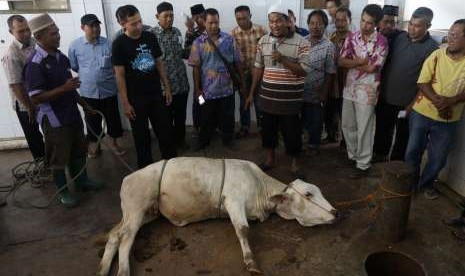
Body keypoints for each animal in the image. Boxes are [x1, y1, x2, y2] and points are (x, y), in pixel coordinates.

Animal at [99, 157, 338, 276]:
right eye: (308, 194)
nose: (335, 212)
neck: (260, 186)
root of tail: (128, 177)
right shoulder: (233, 200)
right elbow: (243, 230)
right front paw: (251, 263)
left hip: (143, 213)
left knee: (114, 235)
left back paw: (103, 269)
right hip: (137, 207)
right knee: (126, 238)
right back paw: (123, 271)